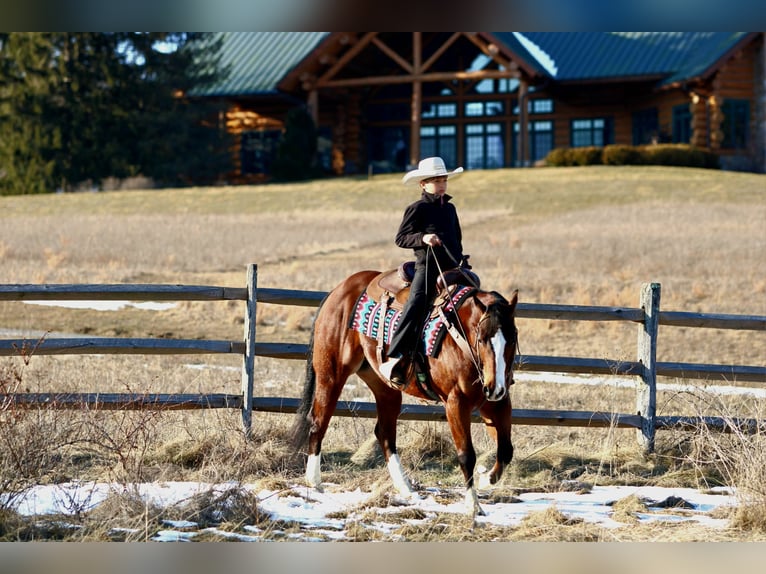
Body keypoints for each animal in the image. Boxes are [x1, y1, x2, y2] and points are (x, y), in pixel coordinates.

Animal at [290, 268, 519, 516]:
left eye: (512, 338)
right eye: (482, 339)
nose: (494, 387)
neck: (460, 334)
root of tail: (338, 291)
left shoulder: (497, 402)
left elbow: (506, 450)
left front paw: (486, 479)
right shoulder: (456, 403)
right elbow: (466, 455)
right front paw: (473, 505)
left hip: (385, 388)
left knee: (385, 433)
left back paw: (406, 488)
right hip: (330, 375)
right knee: (319, 422)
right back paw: (314, 482)